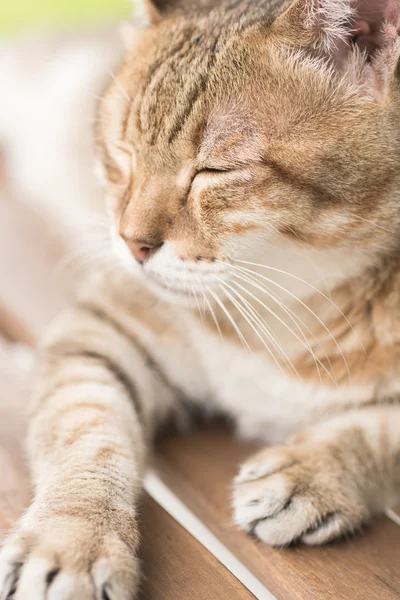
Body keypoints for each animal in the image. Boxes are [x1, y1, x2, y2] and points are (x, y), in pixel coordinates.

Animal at [0, 0, 400, 596]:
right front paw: (72, 539)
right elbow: (85, 433)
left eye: (215, 170)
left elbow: (380, 431)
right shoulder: (101, 331)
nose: (132, 244)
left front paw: (315, 469)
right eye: (123, 151)